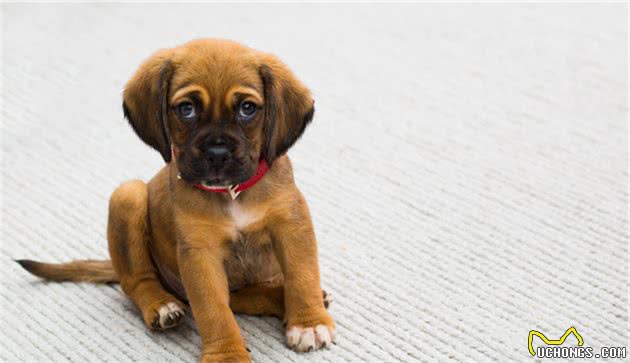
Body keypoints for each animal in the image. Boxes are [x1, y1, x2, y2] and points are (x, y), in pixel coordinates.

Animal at [17, 38, 336, 362]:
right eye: (187, 109)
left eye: (248, 109)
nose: (217, 154)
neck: (231, 193)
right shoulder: (200, 254)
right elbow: (213, 311)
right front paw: (227, 355)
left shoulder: (292, 226)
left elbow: (302, 277)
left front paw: (308, 322)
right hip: (128, 196)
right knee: (137, 282)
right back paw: (161, 305)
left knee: (244, 297)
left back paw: (286, 299)